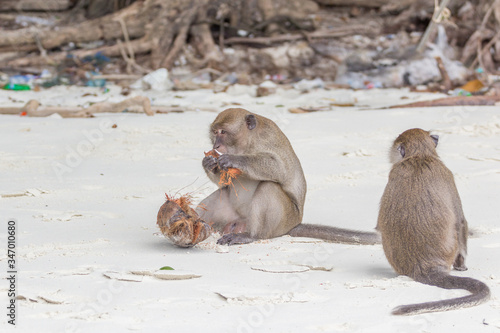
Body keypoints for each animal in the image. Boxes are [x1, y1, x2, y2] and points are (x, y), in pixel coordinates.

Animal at [195, 107, 378, 245]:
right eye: (215, 132)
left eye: (223, 132)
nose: (215, 146)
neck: (247, 143)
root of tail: (294, 224)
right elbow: (225, 184)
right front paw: (208, 163)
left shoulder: (267, 139)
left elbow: (279, 168)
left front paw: (235, 160)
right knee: (217, 197)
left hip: (284, 219)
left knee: (269, 187)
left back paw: (251, 236)